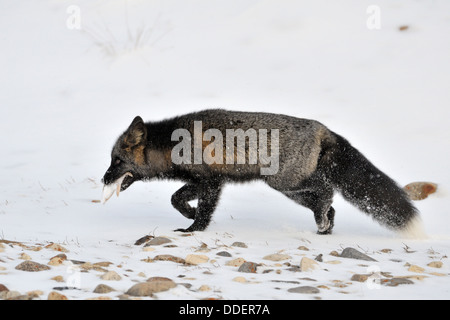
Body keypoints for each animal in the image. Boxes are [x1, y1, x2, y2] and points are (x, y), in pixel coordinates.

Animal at [101, 109, 422, 236]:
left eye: (116, 161)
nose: (103, 178)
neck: (173, 146)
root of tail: (324, 129)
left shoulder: (212, 182)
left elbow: (197, 208)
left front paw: (193, 228)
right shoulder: (202, 180)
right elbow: (176, 199)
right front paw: (189, 215)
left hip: (286, 182)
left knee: (327, 191)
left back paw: (322, 221)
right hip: (291, 190)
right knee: (327, 204)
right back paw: (325, 228)